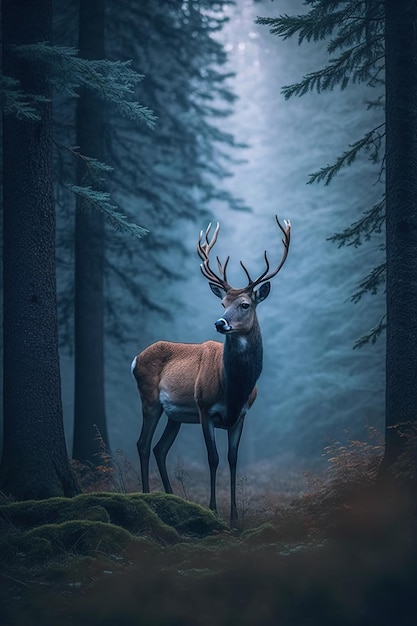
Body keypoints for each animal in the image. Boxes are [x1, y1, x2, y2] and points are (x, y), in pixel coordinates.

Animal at [130, 214, 290, 520]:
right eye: (222, 302)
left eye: (244, 304)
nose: (220, 322)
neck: (235, 389)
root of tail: (135, 359)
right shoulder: (205, 409)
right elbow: (213, 459)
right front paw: (214, 510)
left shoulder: (241, 415)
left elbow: (233, 459)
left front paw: (235, 516)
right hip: (150, 399)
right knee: (143, 444)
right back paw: (146, 496)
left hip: (176, 415)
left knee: (159, 448)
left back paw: (173, 498)